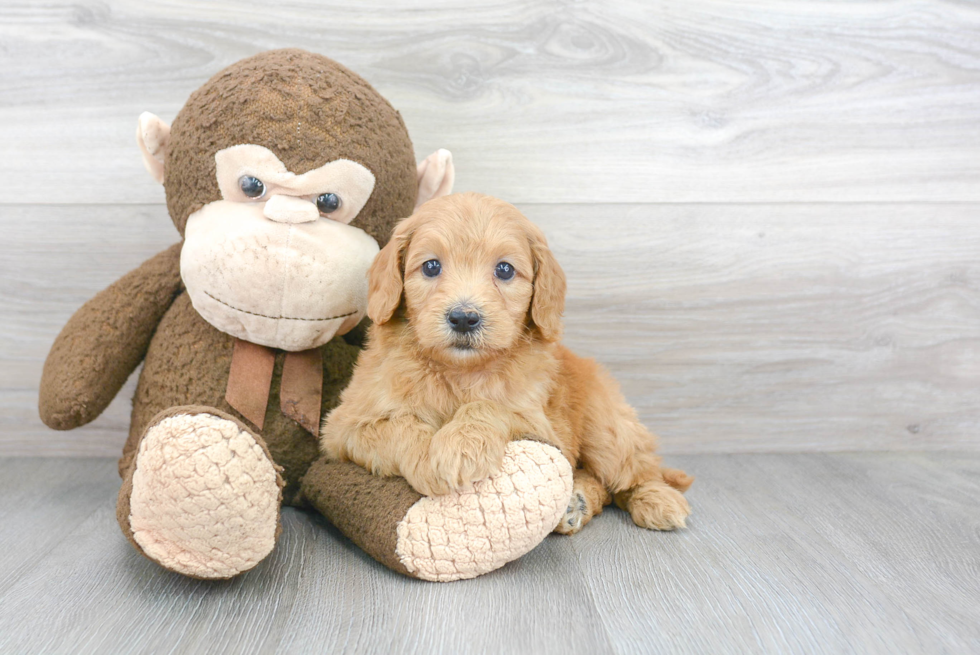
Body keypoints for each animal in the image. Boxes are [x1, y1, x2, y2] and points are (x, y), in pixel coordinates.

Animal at [322, 192, 688, 536]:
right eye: (430, 266)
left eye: (505, 270)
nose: (464, 318)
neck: (459, 372)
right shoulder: (344, 426)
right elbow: (401, 425)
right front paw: (429, 458)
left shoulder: (540, 425)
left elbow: (489, 405)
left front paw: (460, 447)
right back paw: (577, 502)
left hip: (608, 429)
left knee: (632, 474)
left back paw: (658, 500)